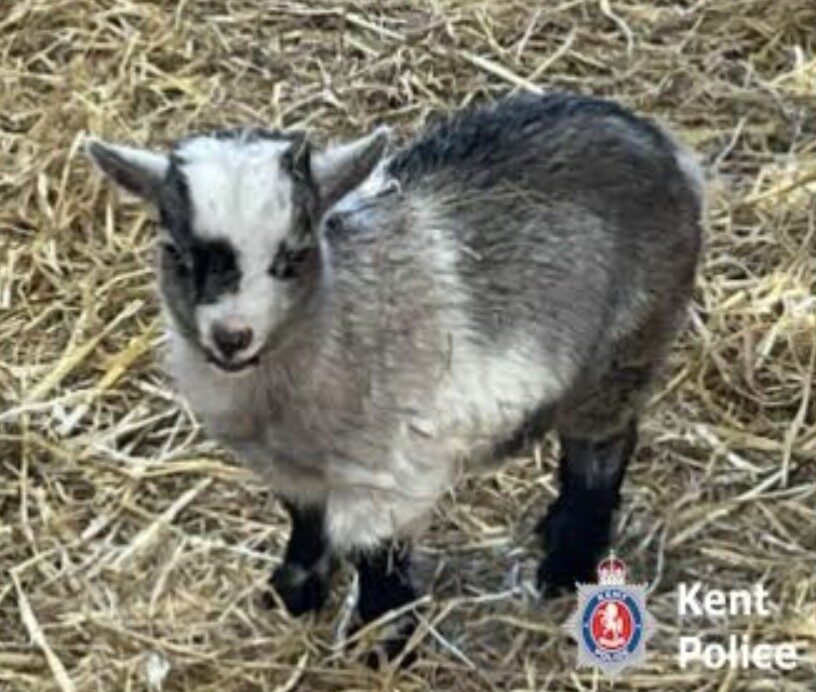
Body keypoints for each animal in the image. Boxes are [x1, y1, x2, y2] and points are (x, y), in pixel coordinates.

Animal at [87, 92, 703, 663]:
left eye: (294, 255)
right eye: (178, 254)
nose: (231, 336)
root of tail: (664, 148)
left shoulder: (387, 472)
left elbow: (376, 556)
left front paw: (379, 644)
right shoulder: (291, 469)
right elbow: (306, 524)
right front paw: (292, 594)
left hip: (624, 348)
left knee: (601, 450)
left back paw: (566, 564)